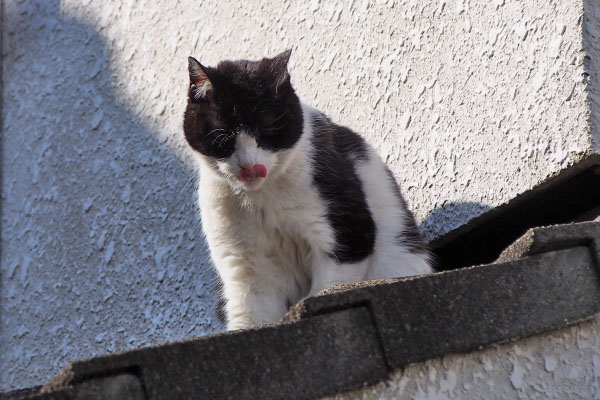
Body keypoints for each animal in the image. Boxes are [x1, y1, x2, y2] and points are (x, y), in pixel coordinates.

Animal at [183, 50, 432, 330]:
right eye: (223, 138)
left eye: (268, 132)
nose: (252, 167)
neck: (261, 198)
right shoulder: (244, 264)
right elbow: (250, 313)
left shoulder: (343, 229)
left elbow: (330, 284)